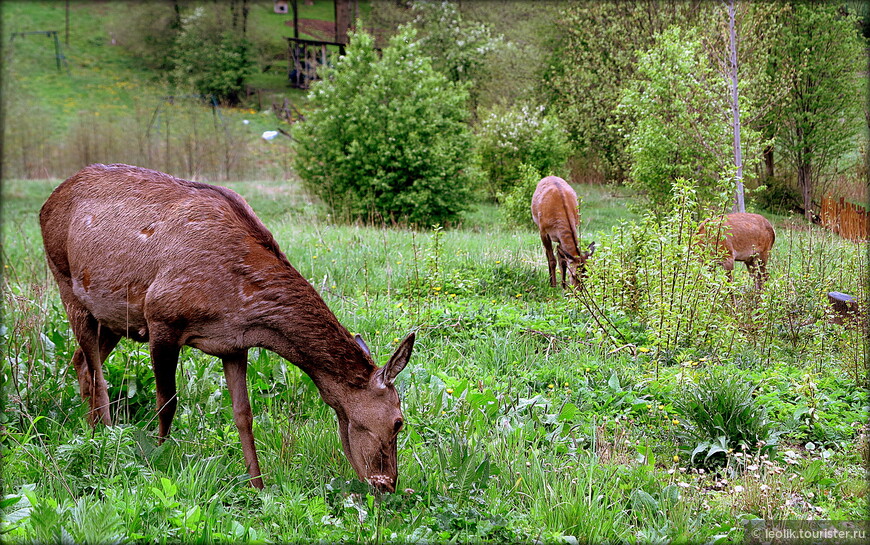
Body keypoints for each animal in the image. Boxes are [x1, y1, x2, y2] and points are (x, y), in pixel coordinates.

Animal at [42, 164, 418, 490]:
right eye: (399, 421)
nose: (388, 484)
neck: (242, 306)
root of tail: (47, 203)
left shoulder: (234, 344)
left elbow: (244, 415)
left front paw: (257, 485)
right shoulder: (161, 318)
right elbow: (167, 402)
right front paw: (158, 459)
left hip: (113, 317)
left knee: (80, 361)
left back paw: (91, 432)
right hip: (67, 285)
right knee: (97, 374)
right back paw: (104, 437)